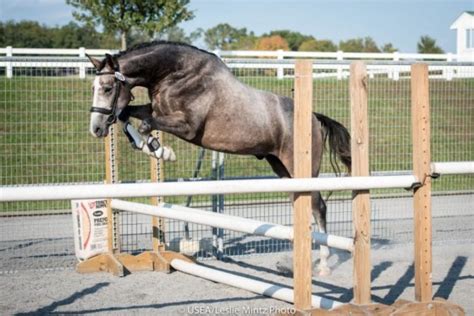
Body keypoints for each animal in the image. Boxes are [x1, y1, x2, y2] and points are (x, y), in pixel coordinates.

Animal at [87, 40, 350, 276]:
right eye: (94, 87)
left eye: (107, 88)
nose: (96, 129)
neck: (175, 74)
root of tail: (314, 116)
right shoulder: (155, 110)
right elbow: (126, 114)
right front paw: (149, 146)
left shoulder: (187, 126)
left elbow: (145, 124)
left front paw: (159, 150)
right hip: (282, 169)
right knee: (303, 205)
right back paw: (294, 263)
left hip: (300, 167)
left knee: (318, 207)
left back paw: (323, 265)